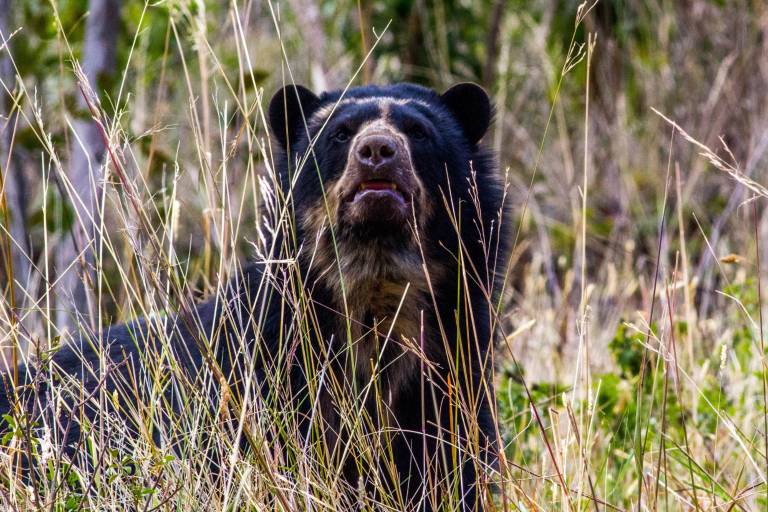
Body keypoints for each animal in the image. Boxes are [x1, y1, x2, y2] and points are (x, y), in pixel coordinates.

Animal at [0, 82, 509, 511]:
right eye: (340, 134)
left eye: (419, 133)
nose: (377, 152)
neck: (375, 294)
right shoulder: (261, 385)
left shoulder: (453, 380)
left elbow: (450, 469)